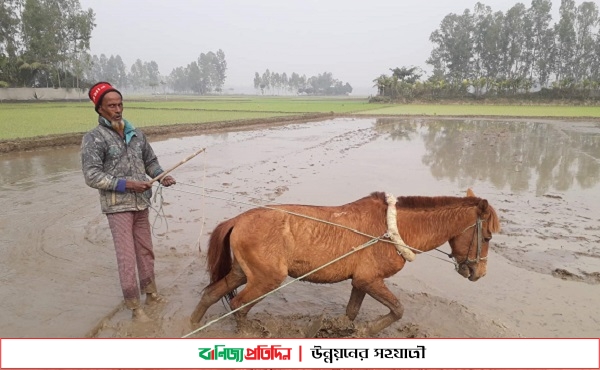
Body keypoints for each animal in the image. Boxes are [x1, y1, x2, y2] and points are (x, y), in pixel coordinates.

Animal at [190, 188, 500, 336]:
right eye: (487, 236)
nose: (479, 272)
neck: (392, 227)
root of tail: (238, 219)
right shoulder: (370, 280)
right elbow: (398, 310)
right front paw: (367, 330)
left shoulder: (361, 282)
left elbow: (350, 313)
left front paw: (339, 329)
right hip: (266, 279)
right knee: (238, 305)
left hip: (243, 273)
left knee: (212, 294)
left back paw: (192, 325)